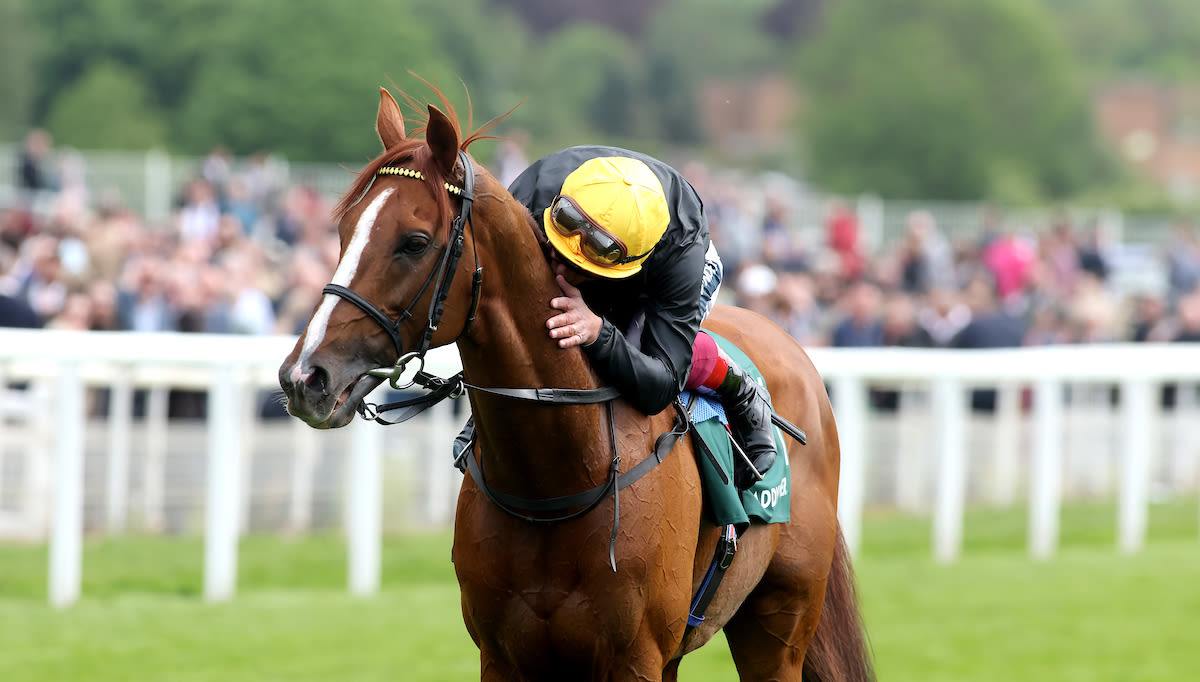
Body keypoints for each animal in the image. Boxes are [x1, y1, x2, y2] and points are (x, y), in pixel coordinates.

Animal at [278, 85, 874, 681]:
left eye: (415, 241)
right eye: (343, 231)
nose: (305, 376)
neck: (554, 481)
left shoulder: (636, 657)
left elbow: (662, 370)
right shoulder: (502, 656)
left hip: (778, 623)